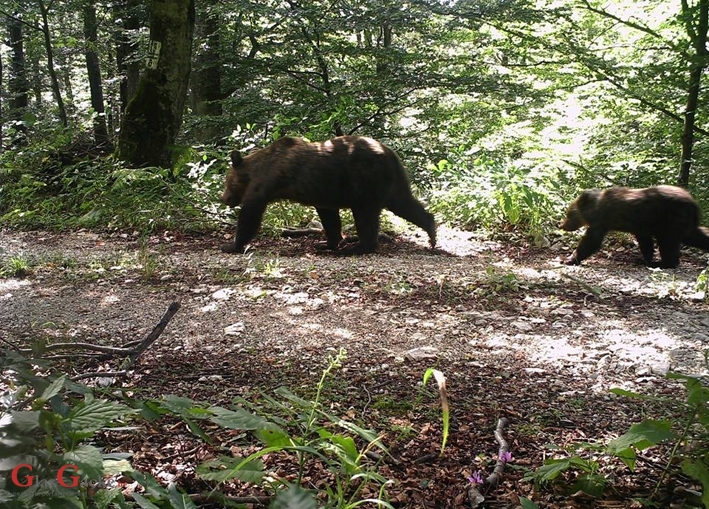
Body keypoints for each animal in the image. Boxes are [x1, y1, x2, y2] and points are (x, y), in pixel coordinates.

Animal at [220, 135, 436, 254]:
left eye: (227, 182)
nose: (224, 198)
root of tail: (390, 153)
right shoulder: (322, 192)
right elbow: (329, 217)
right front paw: (327, 243)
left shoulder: (267, 183)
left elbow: (251, 212)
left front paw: (232, 245)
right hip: (391, 181)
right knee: (404, 203)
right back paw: (432, 234)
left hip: (365, 180)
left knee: (365, 213)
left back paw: (358, 247)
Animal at [560, 185, 708, 268]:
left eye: (569, 214)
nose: (562, 225)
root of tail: (694, 203)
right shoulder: (640, 226)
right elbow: (645, 242)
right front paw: (645, 258)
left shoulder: (602, 221)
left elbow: (591, 242)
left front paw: (569, 259)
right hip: (684, 223)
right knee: (697, 236)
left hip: (672, 218)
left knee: (668, 241)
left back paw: (665, 263)